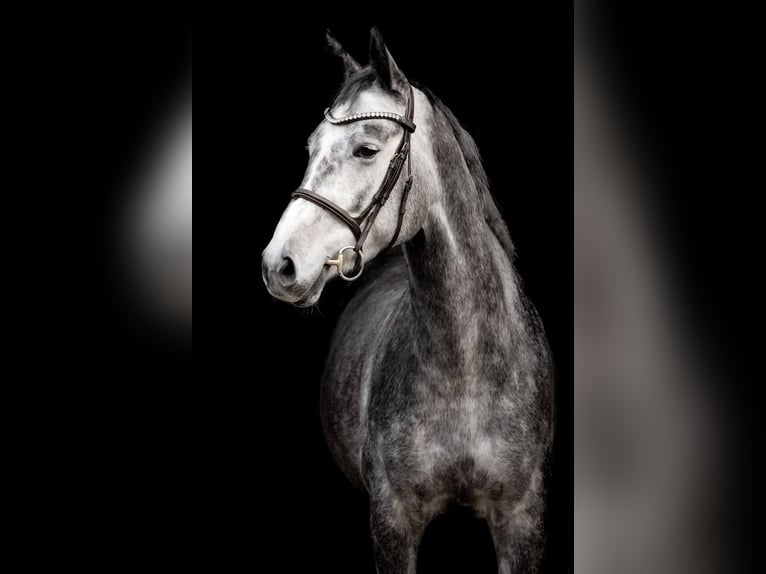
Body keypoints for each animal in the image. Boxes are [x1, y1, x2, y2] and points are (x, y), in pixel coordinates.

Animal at [262, 28, 552, 574]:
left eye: (366, 149)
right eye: (310, 148)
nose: (278, 265)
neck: (465, 373)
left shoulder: (521, 521)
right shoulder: (392, 522)